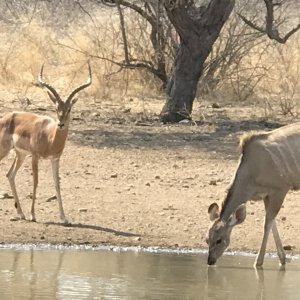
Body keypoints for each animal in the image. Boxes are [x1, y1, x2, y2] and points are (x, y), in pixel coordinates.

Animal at [0, 62, 91, 224]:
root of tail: (6, 117)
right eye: (56, 108)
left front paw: (64, 217)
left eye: (69, 109)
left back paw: (21, 213)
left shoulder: (55, 159)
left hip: (20, 155)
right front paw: (33, 215)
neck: (50, 137)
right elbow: (35, 182)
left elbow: (57, 184)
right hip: (6, 150)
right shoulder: (35, 156)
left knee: (10, 175)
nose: (61, 124)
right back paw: (24, 214)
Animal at [206, 123, 300, 268]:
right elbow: (271, 222)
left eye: (219, 240)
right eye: (207, 239)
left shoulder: (281, 190)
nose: (210, 261)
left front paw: (258, 262)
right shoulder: (267, 196)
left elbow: (267, 223)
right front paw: (282, 259)